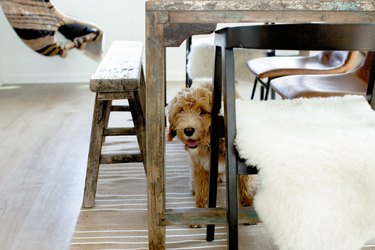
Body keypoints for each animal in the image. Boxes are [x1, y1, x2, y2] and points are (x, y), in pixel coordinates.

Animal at [167, 84, 256, 213]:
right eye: (180, 110)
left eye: (202, 112)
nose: (188, 130)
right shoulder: (199, 165)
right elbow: (202, 188)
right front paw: (201, 208)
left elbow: (245, 184)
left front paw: (247, 205)